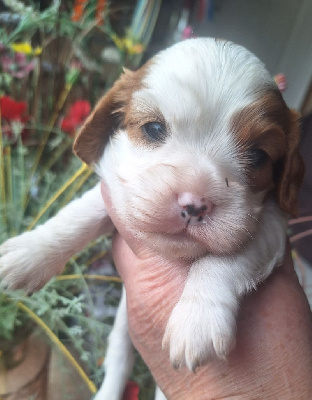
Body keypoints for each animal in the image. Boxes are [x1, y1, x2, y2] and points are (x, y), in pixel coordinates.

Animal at [0, 38, 304, 400]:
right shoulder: (118, 189)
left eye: (258, 155)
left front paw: (197, 318)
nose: (194, 204)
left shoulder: (270, 225)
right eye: (154, 128)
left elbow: (226, 258)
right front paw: (30, 252)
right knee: (119, 358)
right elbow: (79, 214)